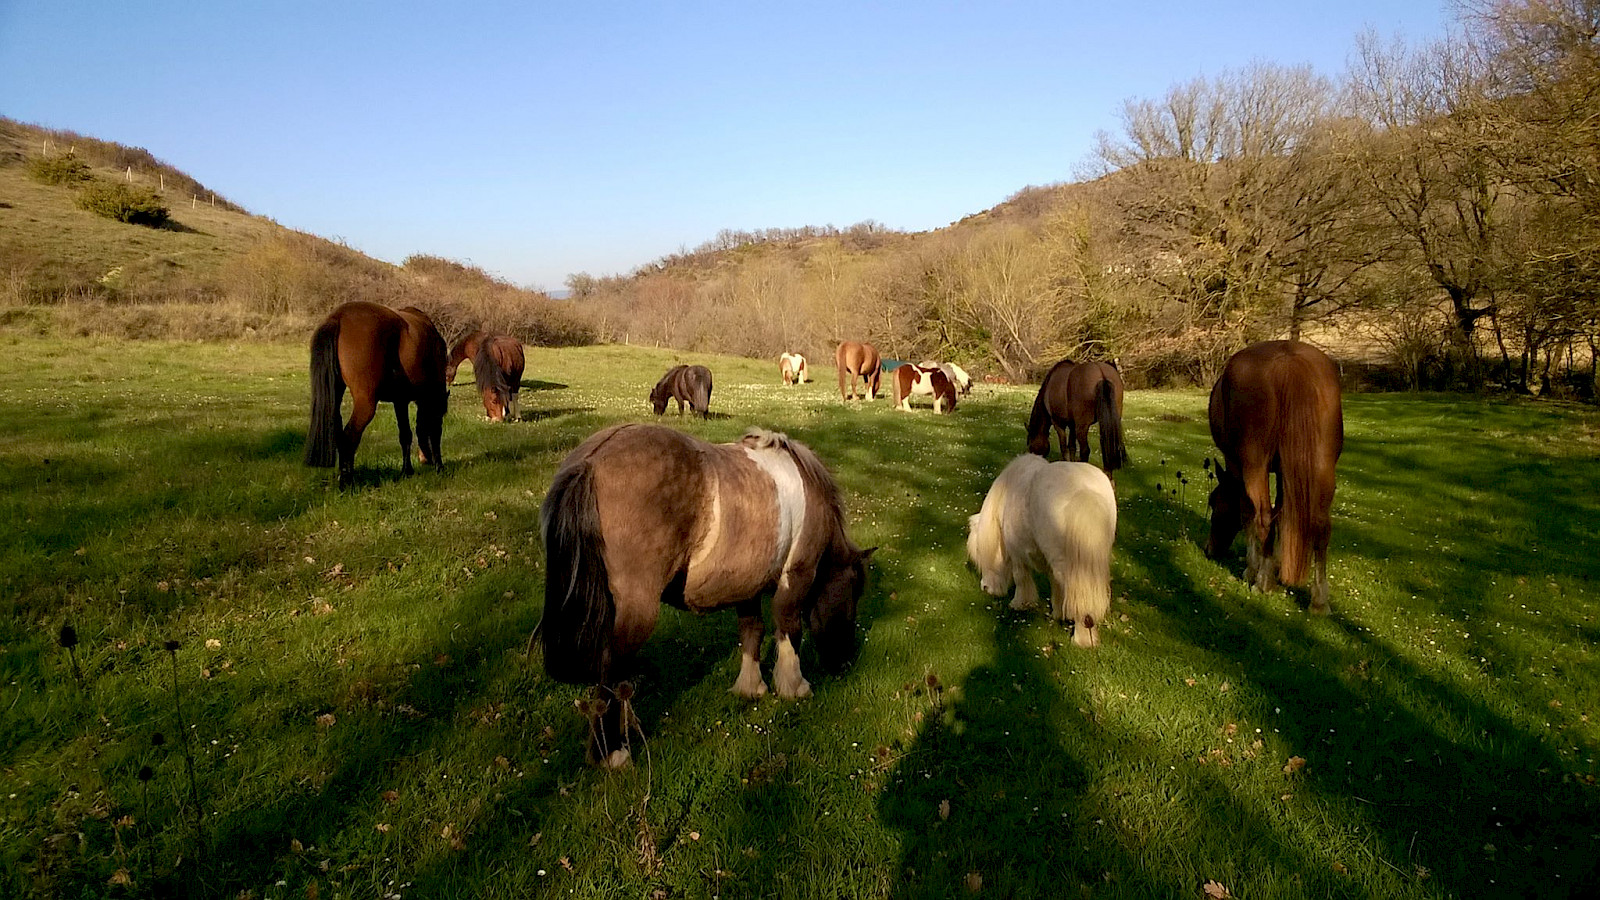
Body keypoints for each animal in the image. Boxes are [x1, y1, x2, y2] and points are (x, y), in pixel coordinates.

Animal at [305, 299, 448, 483]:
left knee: (339, 432)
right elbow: (431, 431)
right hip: (366, 404)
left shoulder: (400, 400)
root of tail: (338, 316)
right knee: (350, 435)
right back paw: (347, 480)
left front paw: (406, 471)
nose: (426, 460)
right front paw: (439, 467)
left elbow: (405, 435)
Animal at [540, 422, 876, 762]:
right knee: (611, 671)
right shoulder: (796, 577)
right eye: (855, 591)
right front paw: (794, 687)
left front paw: (750, 687)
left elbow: (752, 631)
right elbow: (788, 630)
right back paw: (615, 753)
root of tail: (591, 461)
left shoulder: (747, 585)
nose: (844, 663)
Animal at [966, 454, 1120, 643]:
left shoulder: (1016, 553)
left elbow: (1021, 578)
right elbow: (1055, 585)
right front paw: (1058, 613)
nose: (985, 588)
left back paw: (1081, 640)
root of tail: (1084, 490)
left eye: (979, 552)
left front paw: (1019, 604)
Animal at [1203, 339, 1344, 611]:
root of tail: (1289, 362)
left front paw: (1252, 569)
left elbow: (1249, 514)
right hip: (1323, 467)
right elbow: (1283, 514)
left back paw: (1263, 581)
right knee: (1321, 524)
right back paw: (1319, 601)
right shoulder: (1283, 472)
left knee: (1263, 516)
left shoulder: (1238, 467)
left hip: (1255, 467)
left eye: (1213, 502)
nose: (1209, 550)